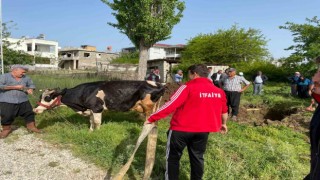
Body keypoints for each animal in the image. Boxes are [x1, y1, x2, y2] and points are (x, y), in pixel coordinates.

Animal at [34, 80, 165, 131]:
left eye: (47, 98)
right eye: (40, 97)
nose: (35, 110)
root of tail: (159, 84)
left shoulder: (97, 108)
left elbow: (97, 122)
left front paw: (97, 132)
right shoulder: (91, 110)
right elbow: (91, 121)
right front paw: (90, 131)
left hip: (148, 107)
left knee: (149, 118)